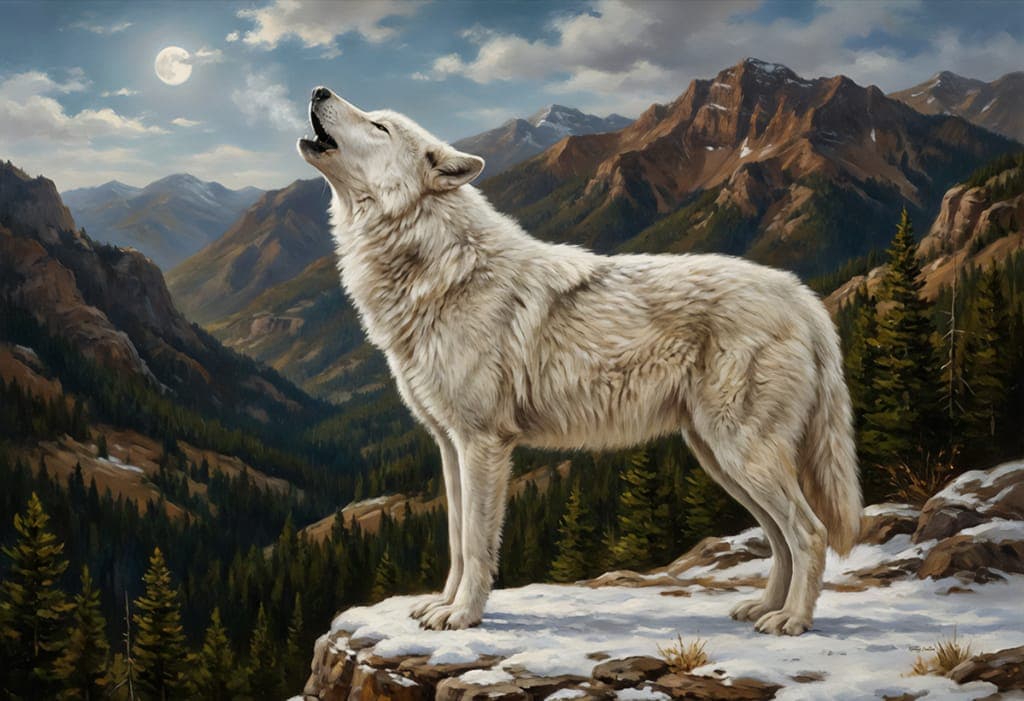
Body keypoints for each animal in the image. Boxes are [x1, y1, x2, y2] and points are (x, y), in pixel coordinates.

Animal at [298, 86, 861, 636]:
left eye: (379, 125)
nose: (319, 88)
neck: (438, 268)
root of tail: (803, 297)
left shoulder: (483, 443)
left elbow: (478, 543)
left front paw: (464, 616)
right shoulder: (448, 444)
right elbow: (457, 541)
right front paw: (440, 605)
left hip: (741, 452)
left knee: (809, 532)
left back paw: (792, 620)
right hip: (718, 459)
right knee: (778, 537)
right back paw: (762, 608)